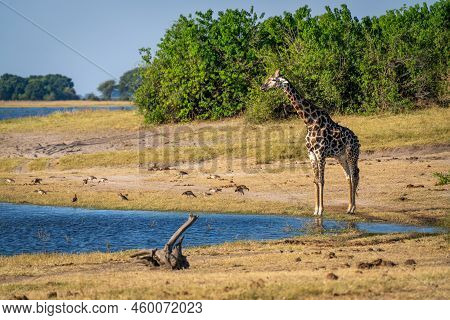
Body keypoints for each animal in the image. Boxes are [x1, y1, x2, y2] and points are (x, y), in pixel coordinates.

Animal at [260, 69, 358, 215]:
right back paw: (348, 207)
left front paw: (321, 210)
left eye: (273, 80)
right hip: (341, 157)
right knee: (349, 176)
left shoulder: (320, 153)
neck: (310, 122)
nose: (262, 86)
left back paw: (352, 208)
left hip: (352, 155)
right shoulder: (311, 154)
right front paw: (316, 209)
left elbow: (322, 180)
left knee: (354, 175)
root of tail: (357, 140)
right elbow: (315, 180)